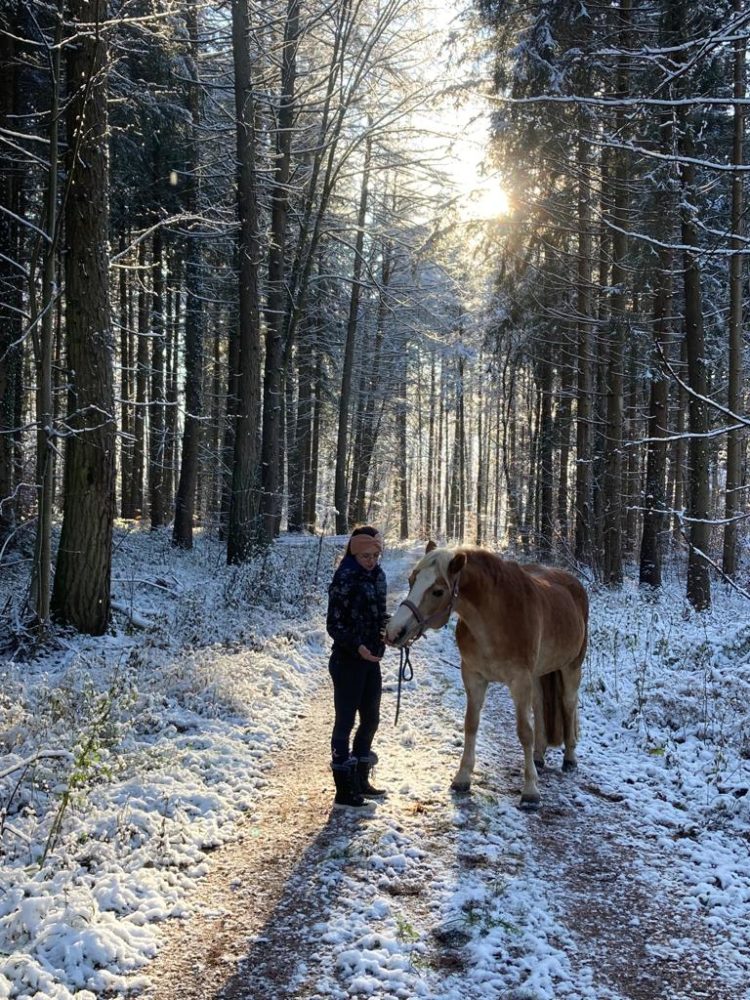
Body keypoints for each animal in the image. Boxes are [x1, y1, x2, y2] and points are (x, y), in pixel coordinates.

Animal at [388, 544, 592, 808]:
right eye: (411, 580)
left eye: (438, 591)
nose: (394, 631)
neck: (496, 617)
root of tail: (573, 583)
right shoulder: (473, 677)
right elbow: (471, 724)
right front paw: (462, 778)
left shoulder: (519, 681)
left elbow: (524, 732)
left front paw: (530, 791)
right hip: (538, 674)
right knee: (539, 707)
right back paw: (538, 757)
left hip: (571, 667)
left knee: (568, 705)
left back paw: (570, 759)